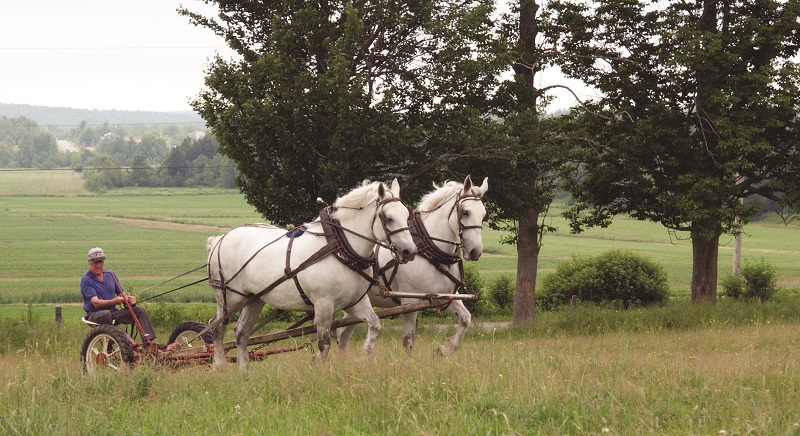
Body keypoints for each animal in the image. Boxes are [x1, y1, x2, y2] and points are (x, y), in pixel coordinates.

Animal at [206, 179, 417, 370]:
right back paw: (219, 365)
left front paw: (363, 357)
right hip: (230, 298)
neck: (340, 248)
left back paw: (244, 370)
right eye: (387, 217)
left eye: (407, 215)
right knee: (217, 327)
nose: (410, 251)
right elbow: (324, 344)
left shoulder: (355, 302)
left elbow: (374, 325)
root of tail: (220, 239)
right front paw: (320, 368)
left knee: (241, 332)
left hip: (254, 299)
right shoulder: (323, 305)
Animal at [336, 175, 488, 355]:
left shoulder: (445, 297)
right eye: (465, 212)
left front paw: (446, 348)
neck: (431, 253)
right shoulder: (409, 302)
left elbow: (466, 319)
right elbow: (408, 340)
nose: (475, 251)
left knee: (342, 334)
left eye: (484, 215)